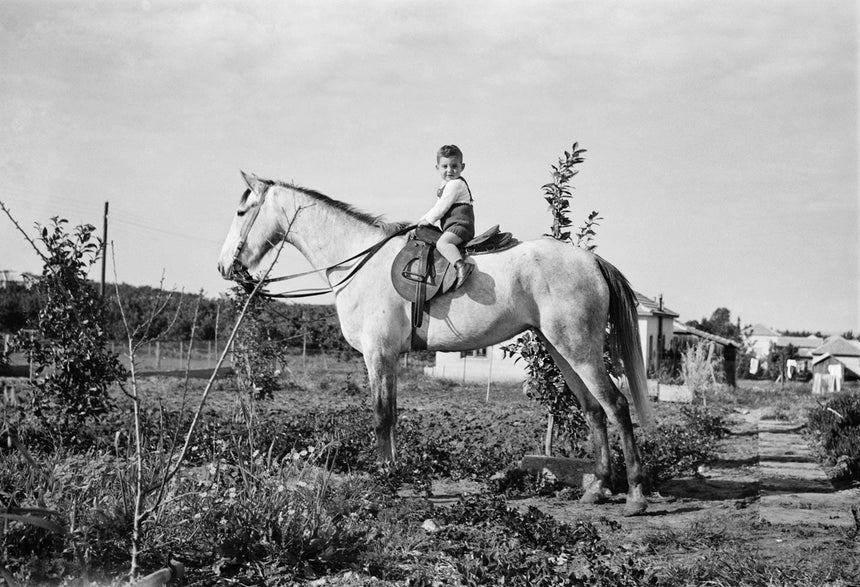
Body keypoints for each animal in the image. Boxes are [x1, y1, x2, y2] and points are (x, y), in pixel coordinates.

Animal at [220, 170, 652, 516]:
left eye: (241, 212)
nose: (225, 266)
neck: (357, 261)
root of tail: (591, 261)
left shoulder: (378, 355)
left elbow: (381, 417)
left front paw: (384, 480)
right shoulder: (389, 358)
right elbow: (392, 415)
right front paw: (393, 473)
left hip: (579, 350)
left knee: (616, 406)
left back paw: (635, 496)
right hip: (561, 349)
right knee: (593, 410)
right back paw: (597, 489)